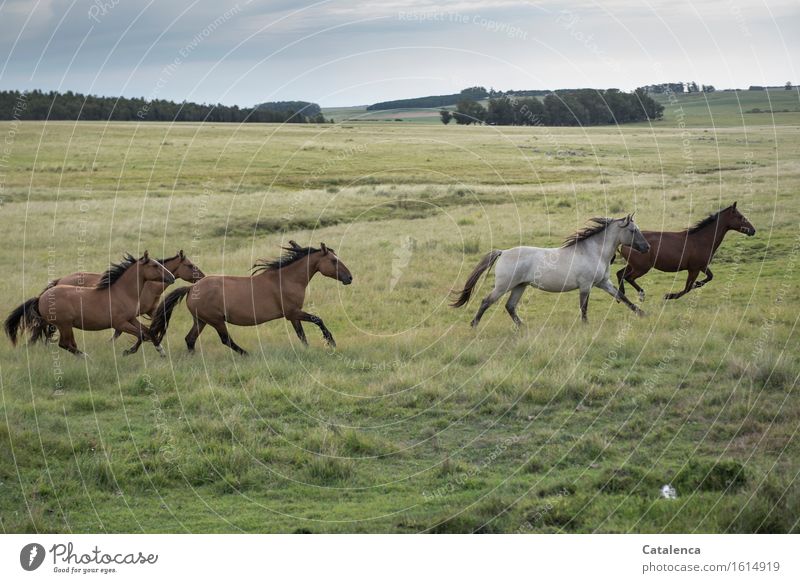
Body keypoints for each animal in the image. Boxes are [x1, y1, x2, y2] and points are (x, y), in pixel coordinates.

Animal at [5, 252, 175, 356]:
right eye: (155, 266)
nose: (172, 278)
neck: (122, 292)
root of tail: (40, 298)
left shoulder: (131, 318)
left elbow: (147, 331)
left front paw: (161, 351)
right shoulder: (119, 323)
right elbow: (141, 334)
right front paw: (129, 351)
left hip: (60, 325)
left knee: (66, 343)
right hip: (64, 324)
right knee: (65, 344)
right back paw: (86, 357)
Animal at [148, 242, 352, 356]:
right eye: (334, 261)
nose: (349, 278)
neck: (287, 279)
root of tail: (191, 288)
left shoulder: (293, 316)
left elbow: (301, 335)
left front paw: (308, 350)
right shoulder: (293, 312)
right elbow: (318, 320)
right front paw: (331, 342)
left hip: (201, 320)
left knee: (190, 339)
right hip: (215, 320)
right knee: (225, 339)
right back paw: (246, 353)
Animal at [450, 214, 648, 326]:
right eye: (633, 230)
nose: (647, 248)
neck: (593, 251)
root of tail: (503, 252)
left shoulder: (602, 282)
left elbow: (622, 297)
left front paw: (642, 314)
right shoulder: (586, 286)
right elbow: (584, 306)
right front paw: (585, 325)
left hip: (520, 286)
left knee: (510, 306)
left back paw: (522, 326)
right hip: (504, 286)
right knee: (486, 301)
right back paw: (474, 324)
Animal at [620, 202, 756, 302]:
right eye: (740, 217)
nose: (753, 230)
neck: (701, 239)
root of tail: (624, 243)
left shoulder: (702, 266)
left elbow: (709, 277)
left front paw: (698, 283)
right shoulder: (694, 269)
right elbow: (688, 287)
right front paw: (669, 296)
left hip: (633, 265)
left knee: (620, 274)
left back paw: (621, 295)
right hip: (642, 268)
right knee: (628, 277)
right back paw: (640, 295)